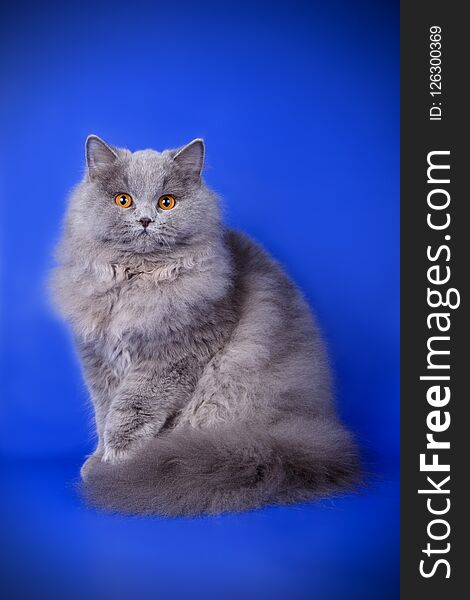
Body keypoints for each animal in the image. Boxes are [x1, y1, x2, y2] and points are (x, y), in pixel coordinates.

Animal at [51, 136, 358, 516]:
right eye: (123, 200)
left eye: (166, 202)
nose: (145, 220)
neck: (136, 285)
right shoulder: (99, 360)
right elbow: (103, 412)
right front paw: (98, 460)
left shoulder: (172, 359)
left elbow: (129, 413)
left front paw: (117, 466)